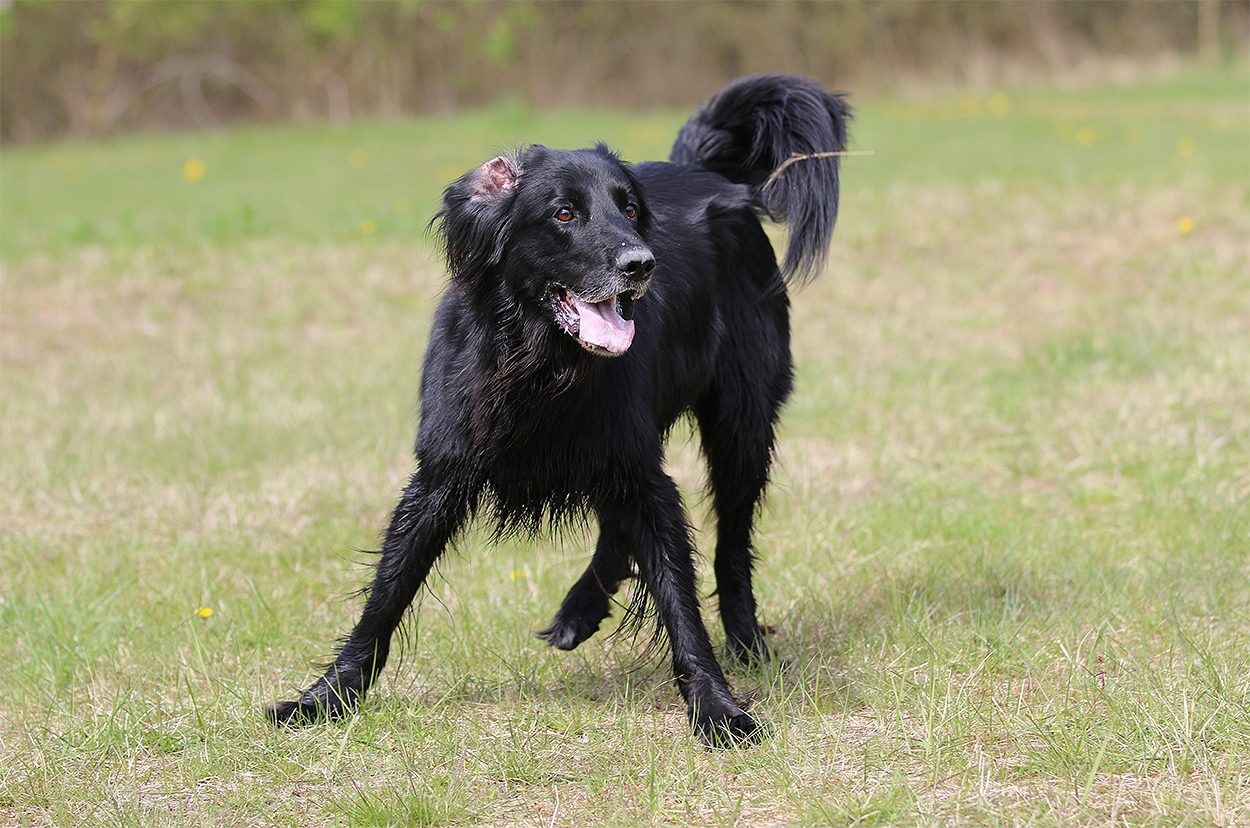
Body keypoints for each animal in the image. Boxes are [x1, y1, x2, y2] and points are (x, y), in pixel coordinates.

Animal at [269, 74, 851, 746]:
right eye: (564, 213)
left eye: (630, 209)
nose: (640, 265)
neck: (540, 362)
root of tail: (701, 169)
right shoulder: (442, 474)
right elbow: (386, 592)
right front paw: (326, 696)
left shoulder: (637, 466)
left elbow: (678, 596)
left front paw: (717, 706)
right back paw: (580, 610)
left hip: (739, 425)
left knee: (730, 548)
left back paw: (745, 641)